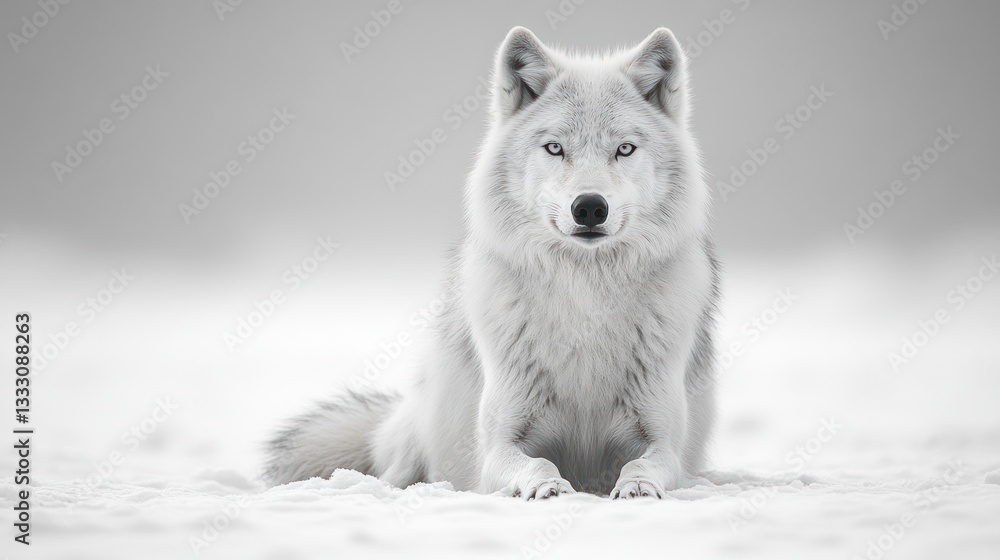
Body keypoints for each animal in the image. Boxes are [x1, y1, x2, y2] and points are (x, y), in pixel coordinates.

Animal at [265, 26, 720, 499]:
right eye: (554, 148)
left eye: (625, 149)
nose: (590, 207)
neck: (584, 303)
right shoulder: (498, 444)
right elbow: (536, 462)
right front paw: (548, 487)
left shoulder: (665, 439)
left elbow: (644, 463)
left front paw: (637, 487)